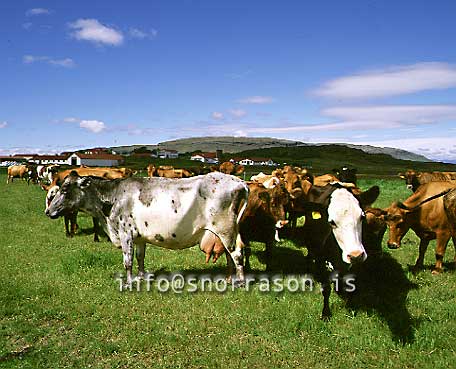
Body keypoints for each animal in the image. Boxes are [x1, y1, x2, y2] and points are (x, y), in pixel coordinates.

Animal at [46, 172, 249, 284]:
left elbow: (127, 261)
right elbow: (140, 257)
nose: (48, 211)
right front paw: (142, 277)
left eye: (65, 190)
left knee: (237, 254)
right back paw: (229, 279)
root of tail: (239, 182)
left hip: (225, 229)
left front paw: (129, 283)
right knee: (231, 255)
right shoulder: (139, 237)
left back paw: (239, 282)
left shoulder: (125, 233)